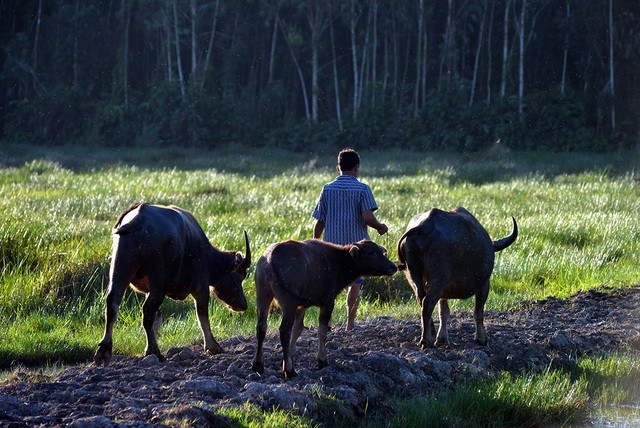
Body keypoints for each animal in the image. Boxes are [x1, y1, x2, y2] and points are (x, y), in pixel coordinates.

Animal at [95, 203, 250, 364]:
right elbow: (202, 316)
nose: (243, 305)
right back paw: (155, 352)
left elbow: (157, 320)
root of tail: (139, 217)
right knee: (147, 311)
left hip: (120, 267)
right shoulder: (201, 288)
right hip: (158, 279)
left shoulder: (147, 290)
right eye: (241, 275)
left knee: (113, 304)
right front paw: (213, 347)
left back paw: (104, 350)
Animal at [252, 241, 398, 378]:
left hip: (263, 295)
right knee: (284, 330)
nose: (393, 266)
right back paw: (289, 371)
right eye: (370, 252)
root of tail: (270, 257)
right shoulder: (328, 303)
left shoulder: (301, 306)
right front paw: (322, 361)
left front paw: (288, 358)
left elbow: (298, 329)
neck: (338, 261)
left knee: (261, 327)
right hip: (288, 302)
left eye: (381, 251)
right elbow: (322, 331)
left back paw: (258, 365)